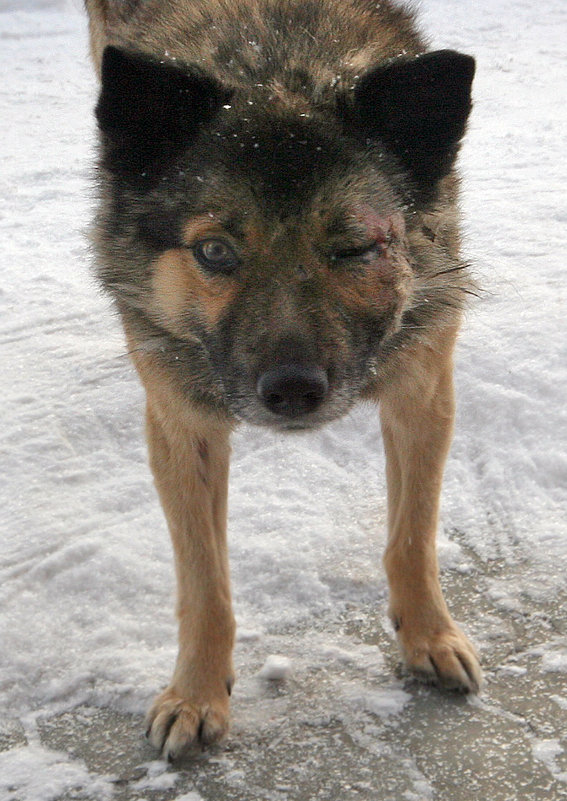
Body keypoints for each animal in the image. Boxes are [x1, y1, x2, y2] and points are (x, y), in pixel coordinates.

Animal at [84, 0, 482, 760]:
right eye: (215, 251)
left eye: (355, 247)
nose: (292, 389)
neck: (276, 62)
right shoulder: (181, 424)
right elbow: (205, 584)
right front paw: (196, 693)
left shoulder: (422, 390)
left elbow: (411, 537)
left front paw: (429, 634)